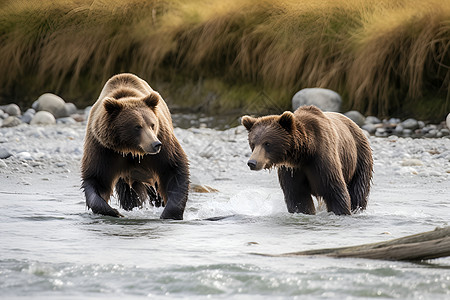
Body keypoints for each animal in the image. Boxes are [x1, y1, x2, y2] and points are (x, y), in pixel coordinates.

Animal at [81, 72, 189, 218]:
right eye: (137, 126)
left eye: (152, 124)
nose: (156, 144)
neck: (131, 149)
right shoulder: (104, 149)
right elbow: (96, 178)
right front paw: (113, 211)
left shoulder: (163, 141)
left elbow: (173, 169)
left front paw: (170, 213)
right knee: (128, 194)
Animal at [243, 106, 372, 216]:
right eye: (253, 144)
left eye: (267, 143)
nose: (252, 162)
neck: (305, 153)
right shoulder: (292, 169)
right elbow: (297, 197)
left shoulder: (322, 159)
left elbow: (334, 191)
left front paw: (341, 211)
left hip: (359, 156)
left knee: (358, 190)